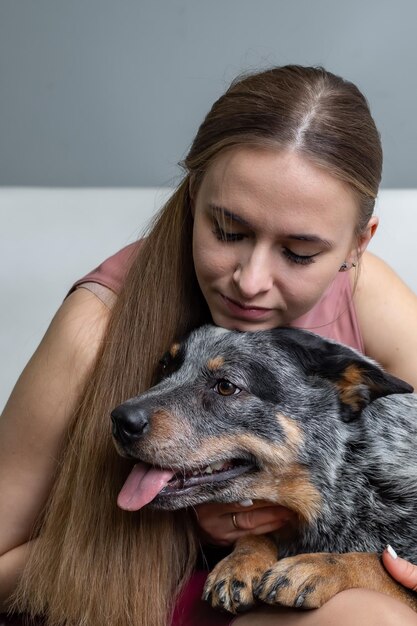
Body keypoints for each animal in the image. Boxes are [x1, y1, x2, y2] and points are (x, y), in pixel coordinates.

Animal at [110, 324, 416, 612]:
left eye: (226, 386)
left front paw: (318, 566)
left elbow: (379, 563)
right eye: (166, 365)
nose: (120, 420)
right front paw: (242, 559)